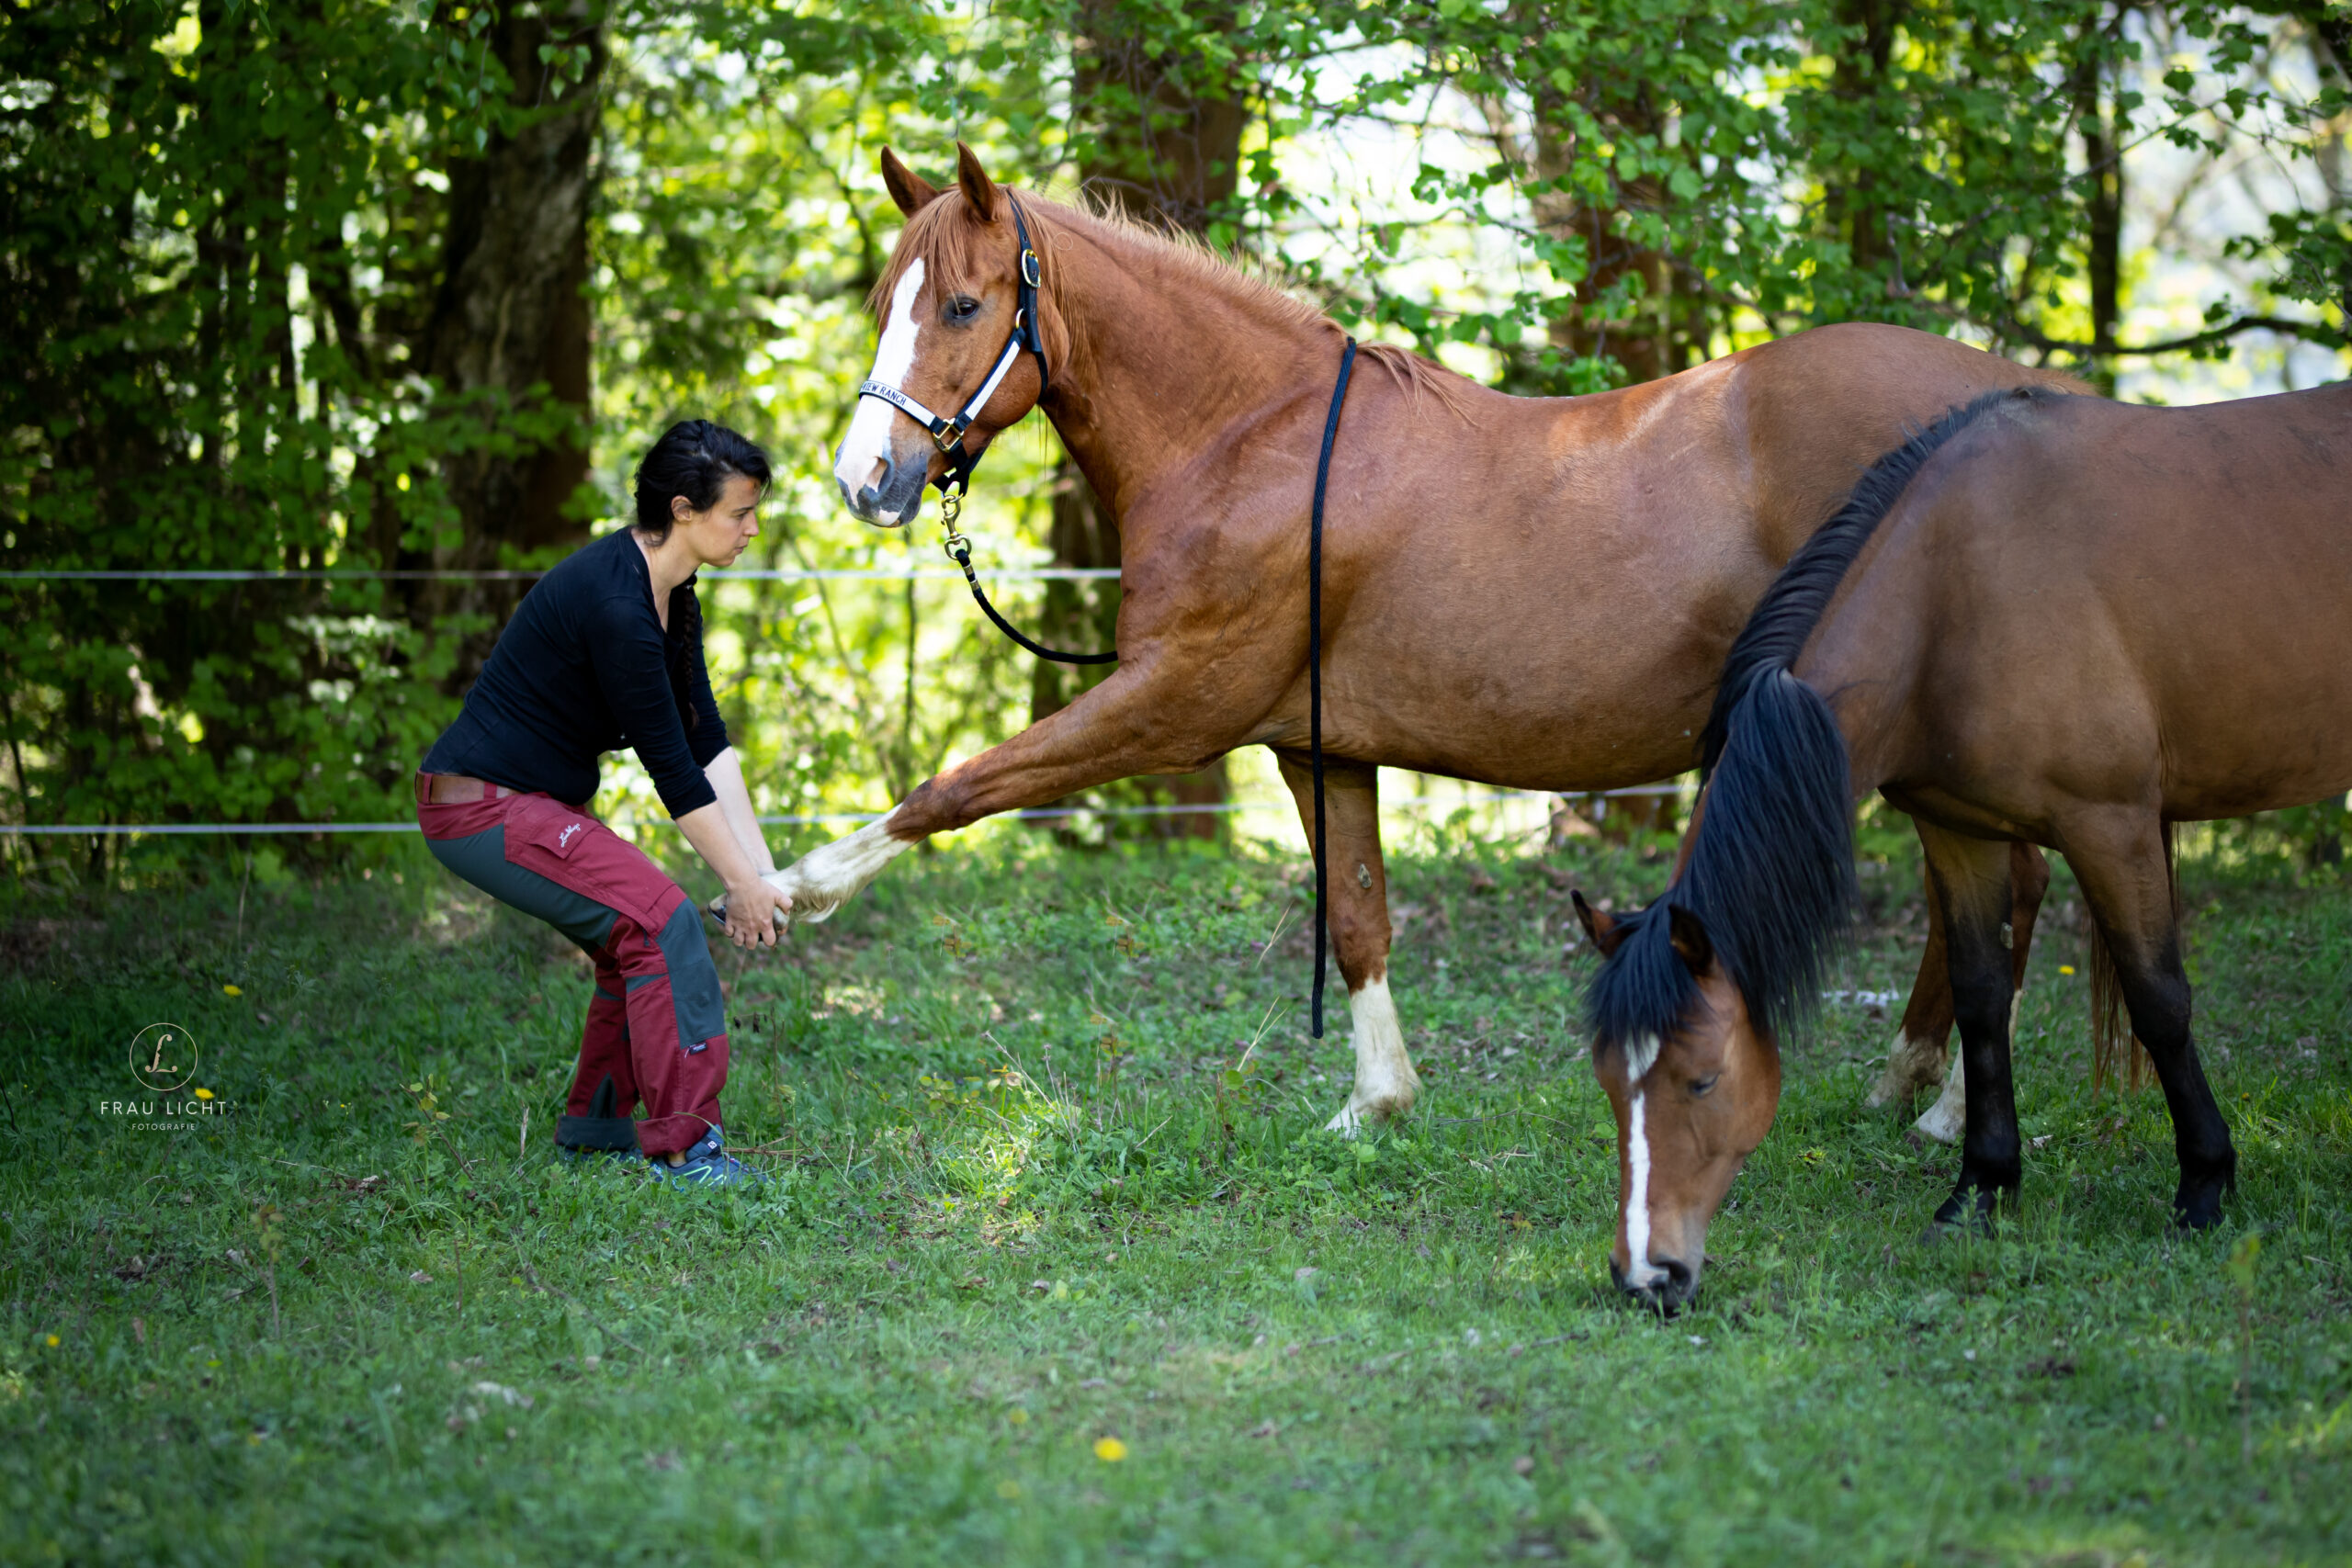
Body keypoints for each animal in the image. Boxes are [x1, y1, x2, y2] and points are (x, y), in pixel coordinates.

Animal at [762, 143, 2069, 1128]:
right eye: (883, 306)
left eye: (963, 305)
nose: (865, 481)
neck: (1249, 441)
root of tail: (2014, 406)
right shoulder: (1316, 746)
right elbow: (1356, 917)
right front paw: (1376, 1103)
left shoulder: (1173, 702)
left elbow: (958, 787)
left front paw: (789, 891)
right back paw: (1913, 1087)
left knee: (2003, 894)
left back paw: (1950, 1111)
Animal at [1580, 380, 2352, 1316]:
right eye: (1610, 1083)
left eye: (1701, 1079)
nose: (1646, 1274)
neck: (1955, 594)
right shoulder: (1963, 834)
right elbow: (1980, 1000)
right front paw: (1981, 1189)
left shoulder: (2113, 825)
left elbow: (2159, 1001)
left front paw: (2205, 1184)